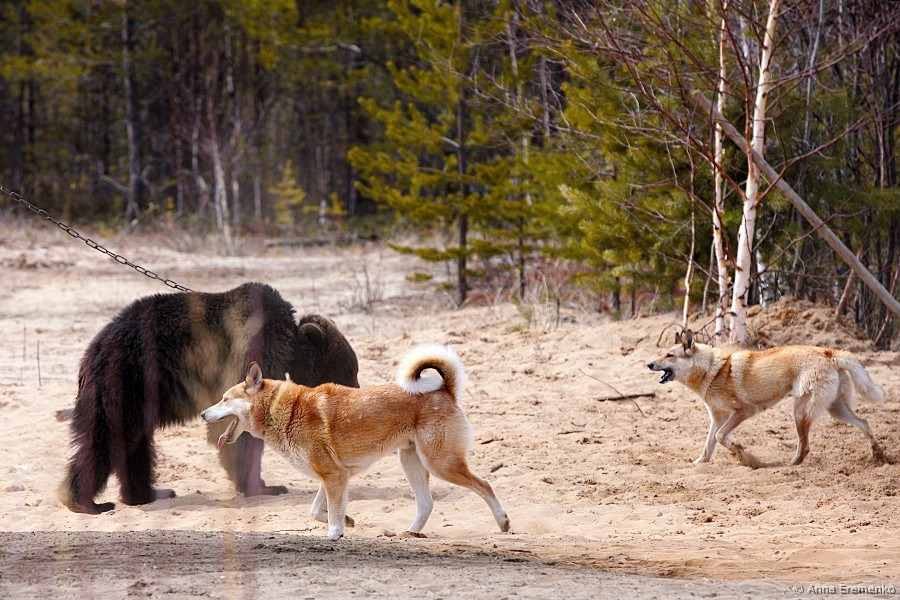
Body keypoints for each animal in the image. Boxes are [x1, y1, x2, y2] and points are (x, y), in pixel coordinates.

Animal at [58, 282, 359, 514]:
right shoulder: (249, 347)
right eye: (351, 370)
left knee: (134, 442)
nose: (357, 393)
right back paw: (84, 501)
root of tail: (91, 352)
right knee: (106, 437)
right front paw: (265, 486)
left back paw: (147, 493)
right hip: (126, 381)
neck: (286, 341)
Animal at [201, 344, 510, 540]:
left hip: (440, 464)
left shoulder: (334, 477)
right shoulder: (333, 476)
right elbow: (318, 511)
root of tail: (444, 389)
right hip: (412, 462)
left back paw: (503, 522)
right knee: (426, 503)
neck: (284, 411)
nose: (203, 414)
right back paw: (411, 533)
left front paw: (336, 534)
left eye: (224, 399)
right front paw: (348, 521)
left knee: (485, 485)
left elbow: (331, 521)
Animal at [647, 330, 885, 468]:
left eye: (669, 355)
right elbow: (709, 443)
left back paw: (791, 466)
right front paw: (701, 462)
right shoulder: (717, 417)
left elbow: (720, 437)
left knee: (805, 445)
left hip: (800, 412)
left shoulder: (743, 411)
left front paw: (744, 456)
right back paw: (877, 454)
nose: (649, 364)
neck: (711, 371)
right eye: (662, 353)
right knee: (864, 423)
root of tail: (829, 352)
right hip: (835, 410)